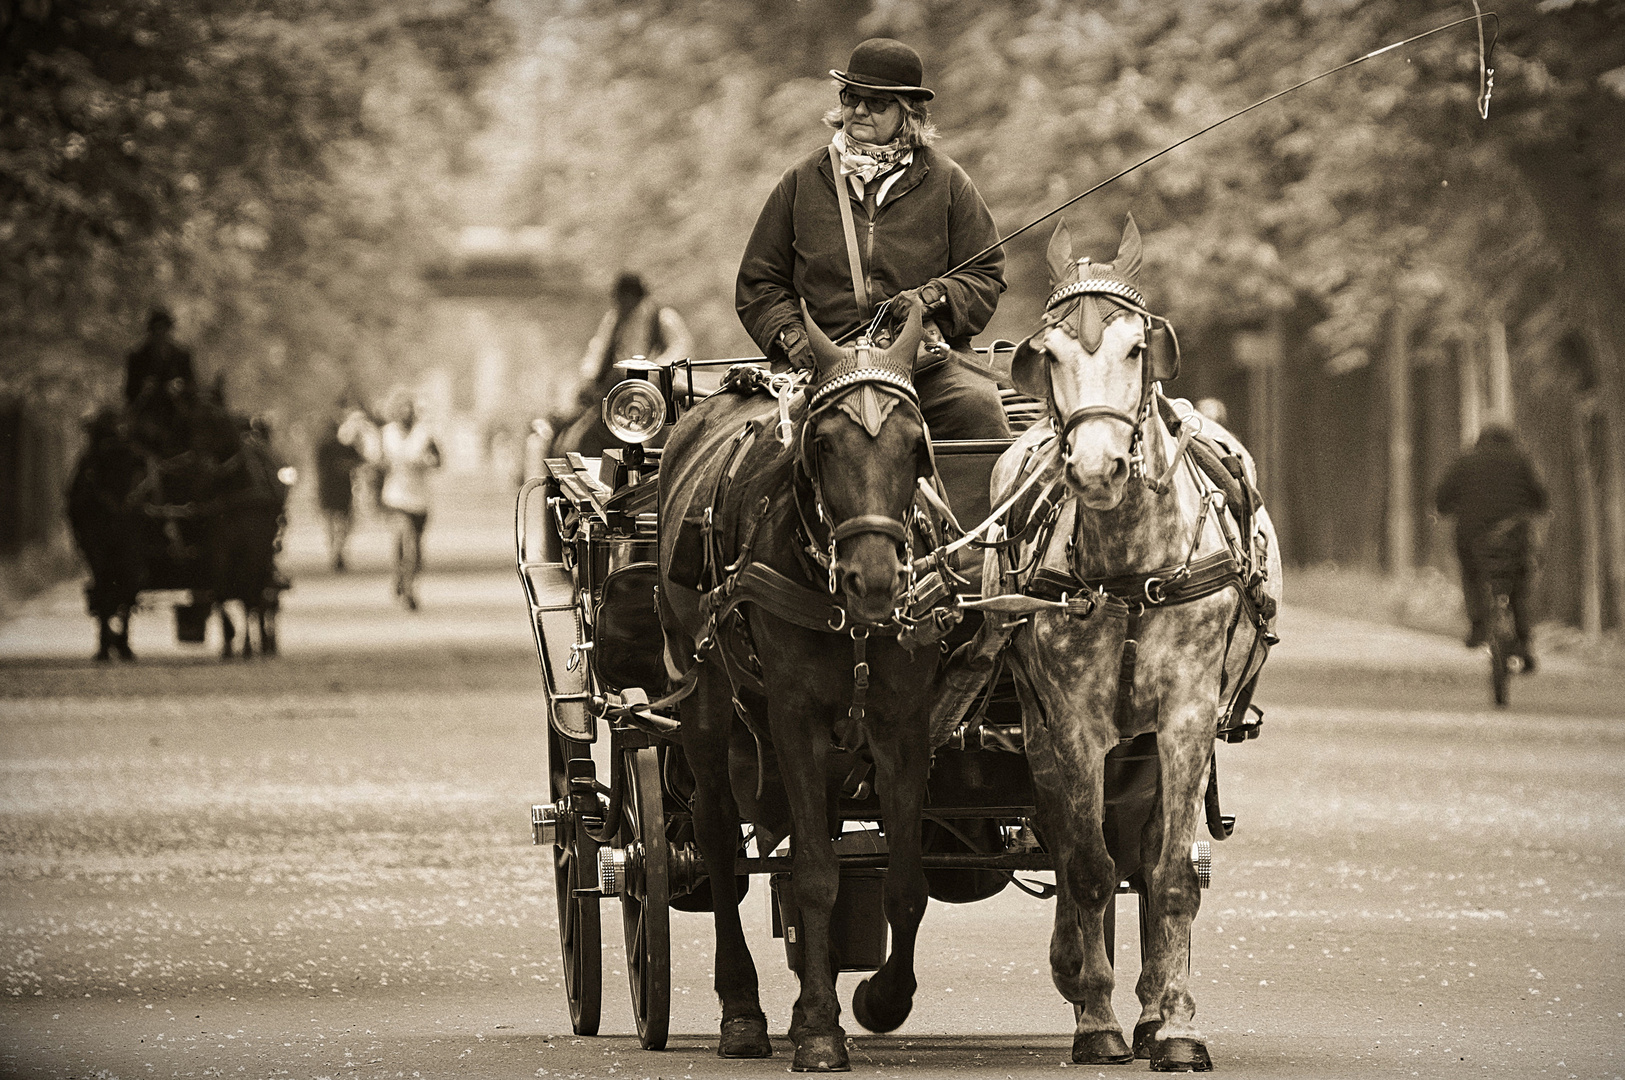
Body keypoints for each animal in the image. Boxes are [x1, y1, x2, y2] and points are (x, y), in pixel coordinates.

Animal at [656, 295, 942, 1071]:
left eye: (915, 445)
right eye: (825, 444)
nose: (874, 579)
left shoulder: (903, 724)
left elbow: (905, 883)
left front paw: (881, 998)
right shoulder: (794, 716)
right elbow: (814, 873)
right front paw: (817, 1026)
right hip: (704, 694)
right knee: (718, 840)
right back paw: (743, 1011)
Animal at [988, 217, 1280, 1071]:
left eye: (1134, 347)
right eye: (1049, 352)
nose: (1094, 467)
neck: (1126, 567)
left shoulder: (1185, 717)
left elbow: (1171, 873)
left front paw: (1176, 1027)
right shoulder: (1072, 723)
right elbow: (1087, 867)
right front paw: (1094, 1018)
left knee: (1147, 854)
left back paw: (1152, 1004)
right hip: (1043, 730)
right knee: (1068, 838)